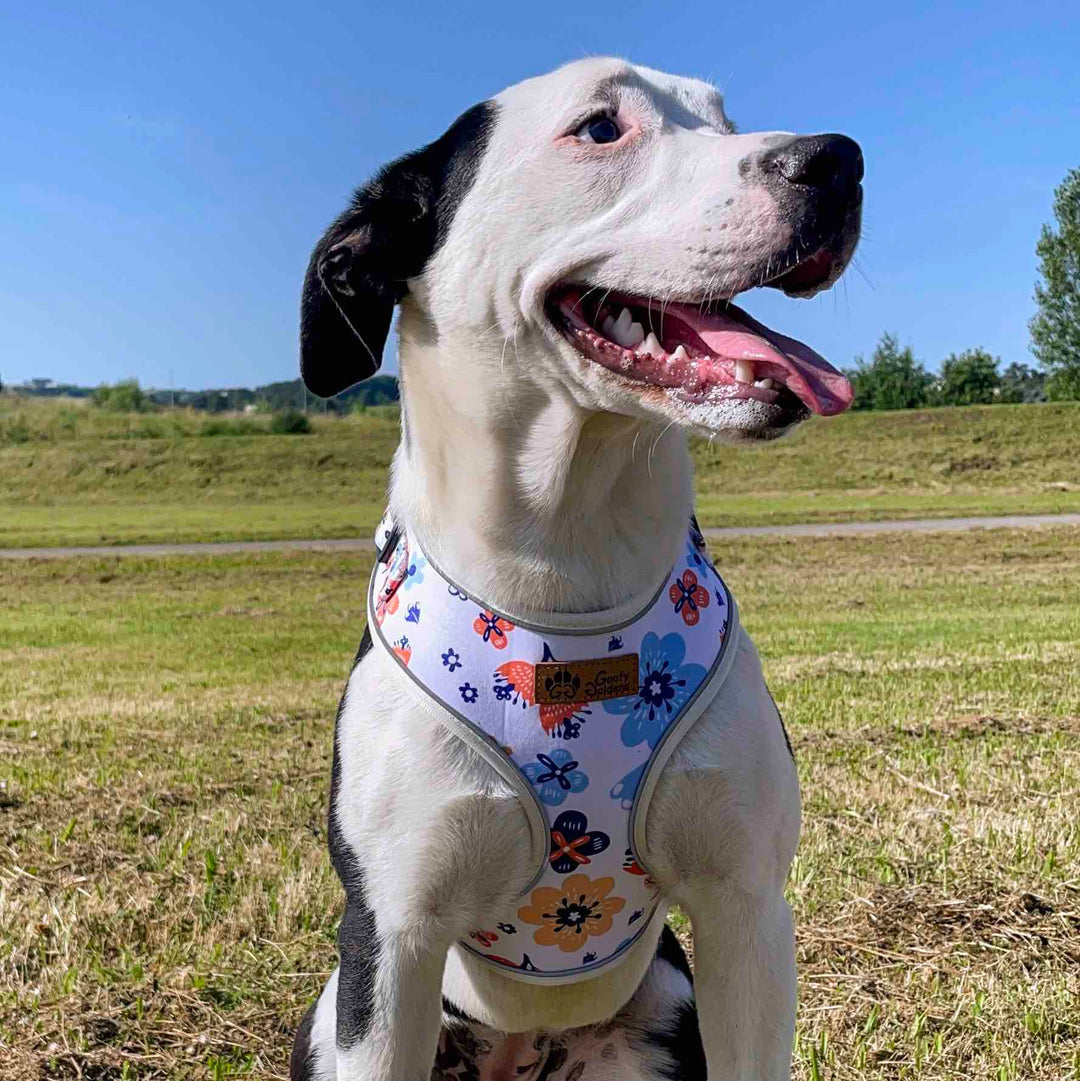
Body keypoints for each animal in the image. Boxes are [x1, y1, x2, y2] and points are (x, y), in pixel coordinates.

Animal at [287, 57, 860, 1081]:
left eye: (726, 119)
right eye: (600, 127)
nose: (839, 160)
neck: (566, 563)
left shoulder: (747, 909)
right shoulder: (387, 939)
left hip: (666, 1007)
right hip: (331, 1016)